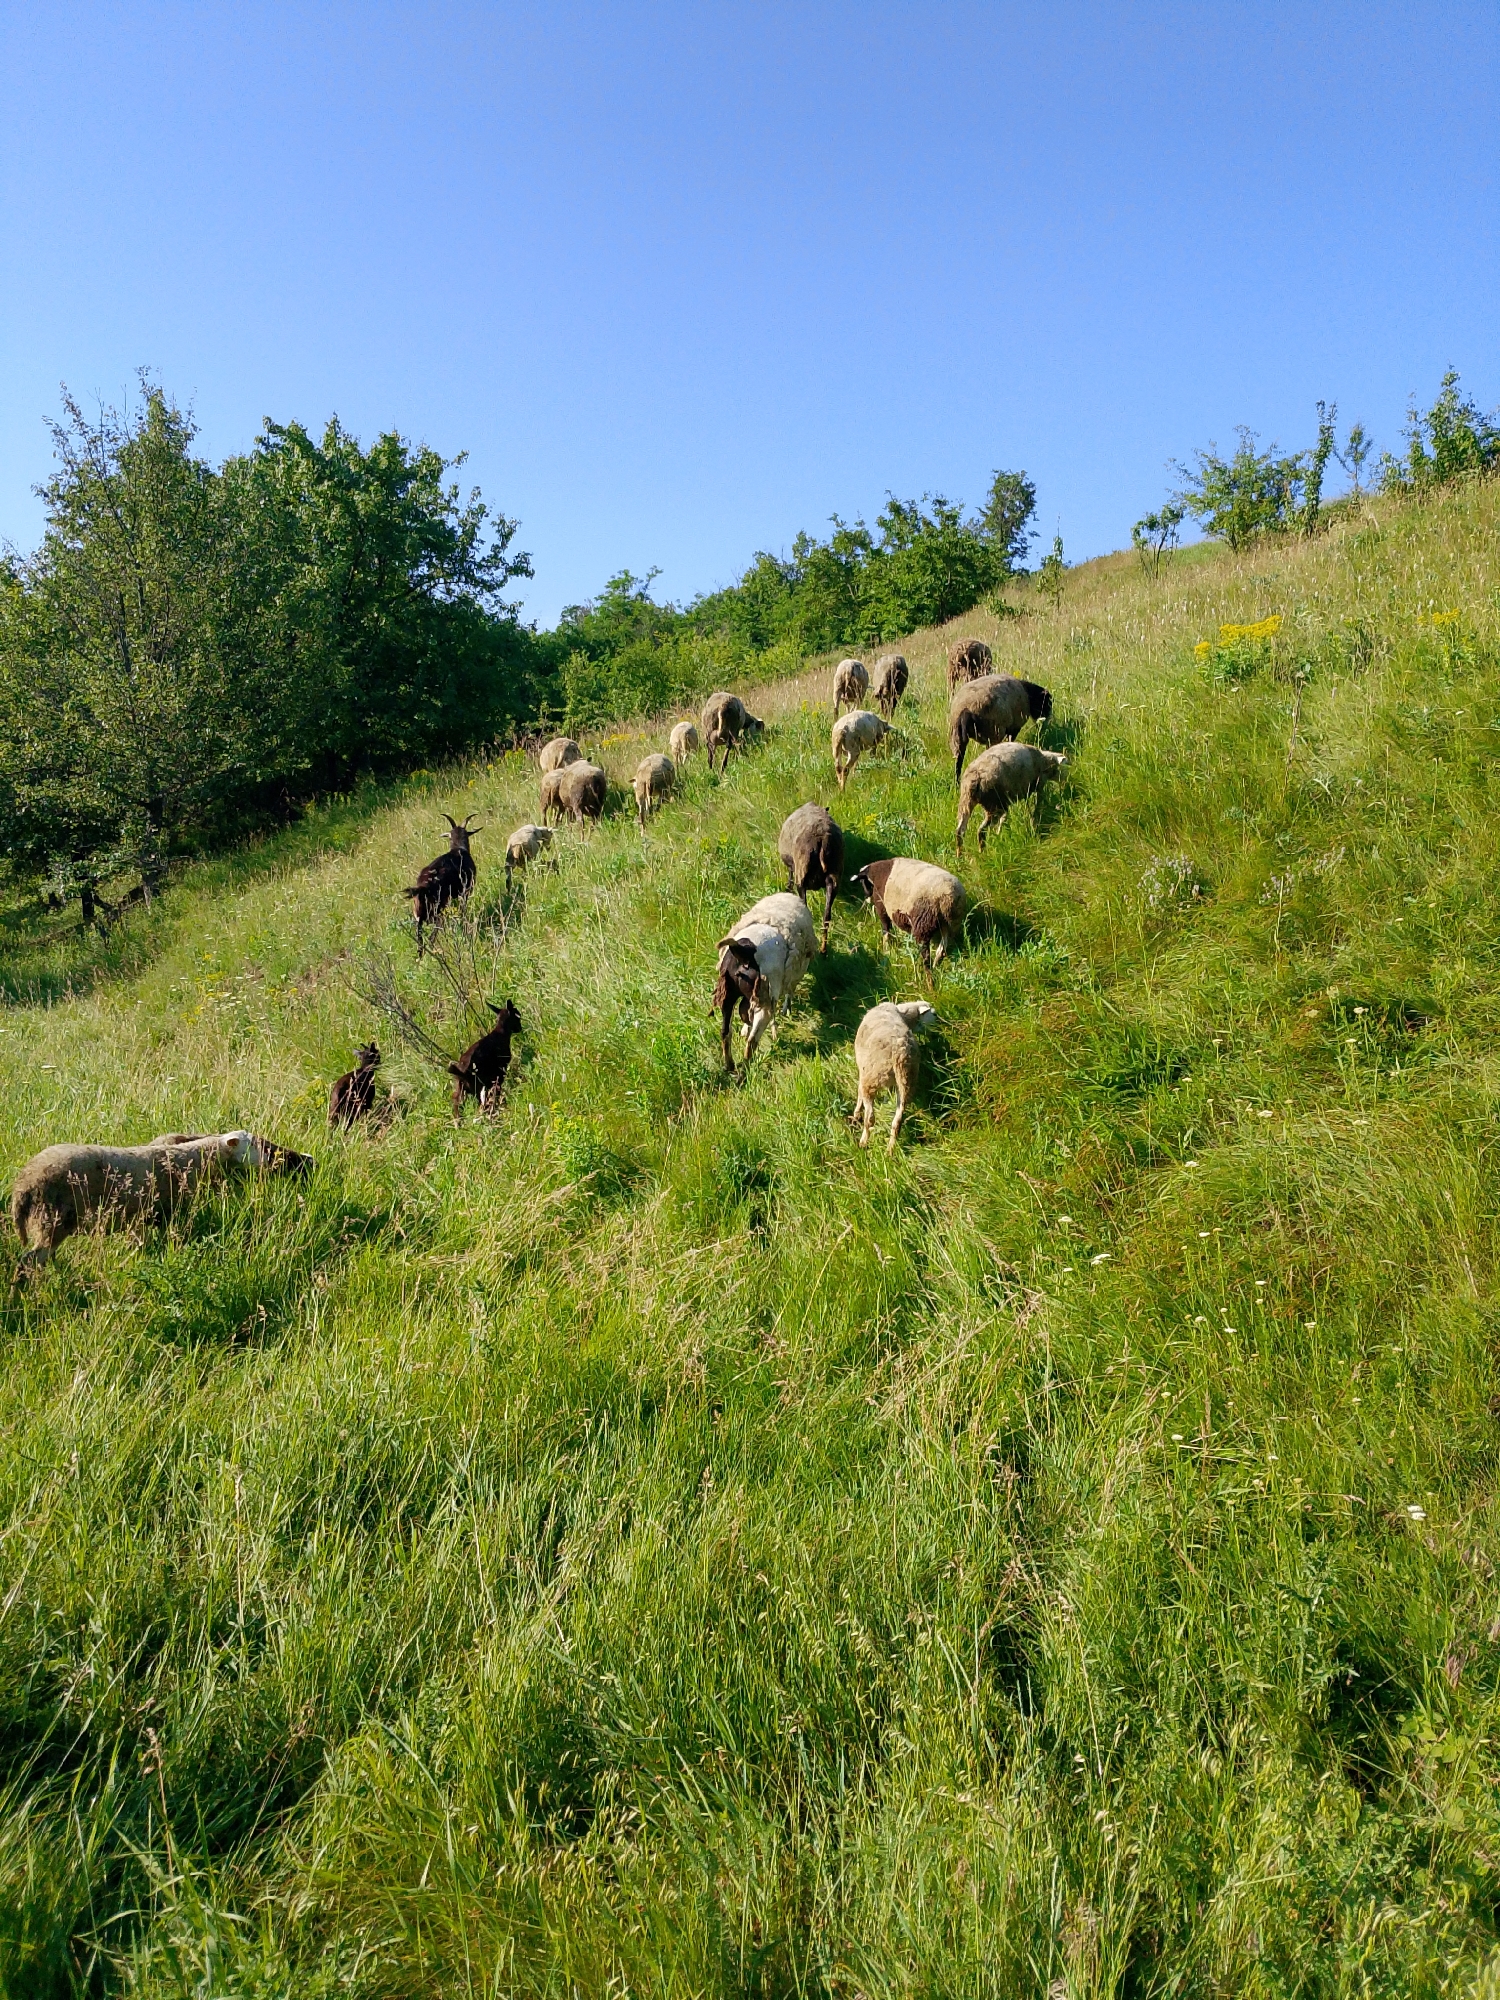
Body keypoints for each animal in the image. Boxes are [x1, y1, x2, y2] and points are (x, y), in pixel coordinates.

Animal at [11, 1131, 313, 1276]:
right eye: (257, 1144)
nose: (305, 1160)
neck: (197, 1158)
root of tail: (23, 1187)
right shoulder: (172, 1215)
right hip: (53, 1219)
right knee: (28, 1262)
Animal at [404, 814, 480, 955]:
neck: (459, 849)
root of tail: (423, 888)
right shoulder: (465, 891)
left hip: (418, 916)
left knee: (420, 942)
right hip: (438, 910)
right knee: (431, 936)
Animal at [712, 892, 817, 1075]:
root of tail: (742, 951)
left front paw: (744, 1028)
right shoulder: (794, 973)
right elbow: (790, 992)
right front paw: (786, 1012)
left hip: (728, 996)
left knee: (725, 1032)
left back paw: (730, 1066)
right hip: (765, 996)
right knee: (752, 1040)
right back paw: (746, 1072)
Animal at [777, 802, 844, 954]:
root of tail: (821, 839)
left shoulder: (793, 868)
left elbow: (790, 877)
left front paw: (787, 888)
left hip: (802, 875)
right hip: (833, 876)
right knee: (827, 916)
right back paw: (823, 950)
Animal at [853, 1000, 940, 1150]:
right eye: (933, 1014)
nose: (940, 1023)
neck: (903, 1014)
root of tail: (900, 1053)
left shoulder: (862, 1070)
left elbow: (859, 1095)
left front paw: (856, 1115)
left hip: (871, 1079)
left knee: (870, 1117)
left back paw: (863, 1142)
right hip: (906, 1082)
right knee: (898, 1121)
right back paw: (890, 1149)